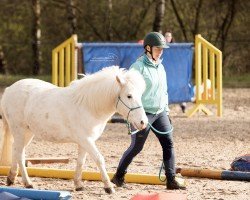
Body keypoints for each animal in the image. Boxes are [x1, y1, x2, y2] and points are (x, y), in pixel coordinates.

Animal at [0, 66, 147, 194]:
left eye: (140, 95)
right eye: (129, 96)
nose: (143, 122)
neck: (88, 106)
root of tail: (9, 89)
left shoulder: (85, 142)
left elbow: (81, 162)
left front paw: (78, 185)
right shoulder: (86, 140)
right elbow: (99, 159)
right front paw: (108, 187)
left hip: (28, 132)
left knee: (16, 149)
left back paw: (11, 178)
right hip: (19, 130)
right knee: (19, 153)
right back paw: (28, 183)